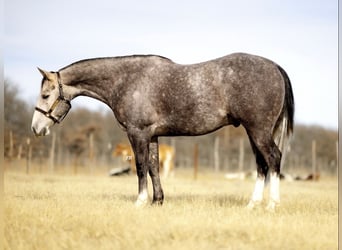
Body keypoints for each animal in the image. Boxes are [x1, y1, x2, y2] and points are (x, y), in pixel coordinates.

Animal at [31, 53, 294, 211]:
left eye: (45, 95)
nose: (36, 128)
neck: (127, 80)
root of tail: (274, 66)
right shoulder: (153, 136)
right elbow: (153, 168)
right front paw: (158, 201)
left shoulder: (137, 133)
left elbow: (140, 167)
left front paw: (140, 201)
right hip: (255, 132)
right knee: (261, 164)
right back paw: (252, 204)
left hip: (258, 130)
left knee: (273, 158)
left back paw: (272, 204)